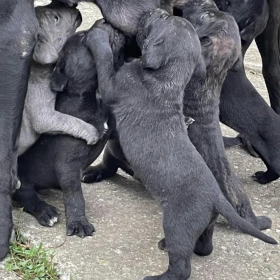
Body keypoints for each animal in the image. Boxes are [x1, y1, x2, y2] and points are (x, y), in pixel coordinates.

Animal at [13, 21, 124, 236]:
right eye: (82, 38)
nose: (103, 22)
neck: (89, 97)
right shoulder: (68, 165)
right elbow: (74, 196)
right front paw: (78, 223)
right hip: (20, 179)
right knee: (27, 196)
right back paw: (45, 211)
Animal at [86, 9, 278, 280]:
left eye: (164, 20)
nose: (157, 10)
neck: (167, 77)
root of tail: (217, 197)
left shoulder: (114, 86)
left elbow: (104, 62)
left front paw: (98, 37)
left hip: (177, 223)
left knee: (182, 268)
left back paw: (159, 275)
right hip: (205, 223)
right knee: (205, 246)